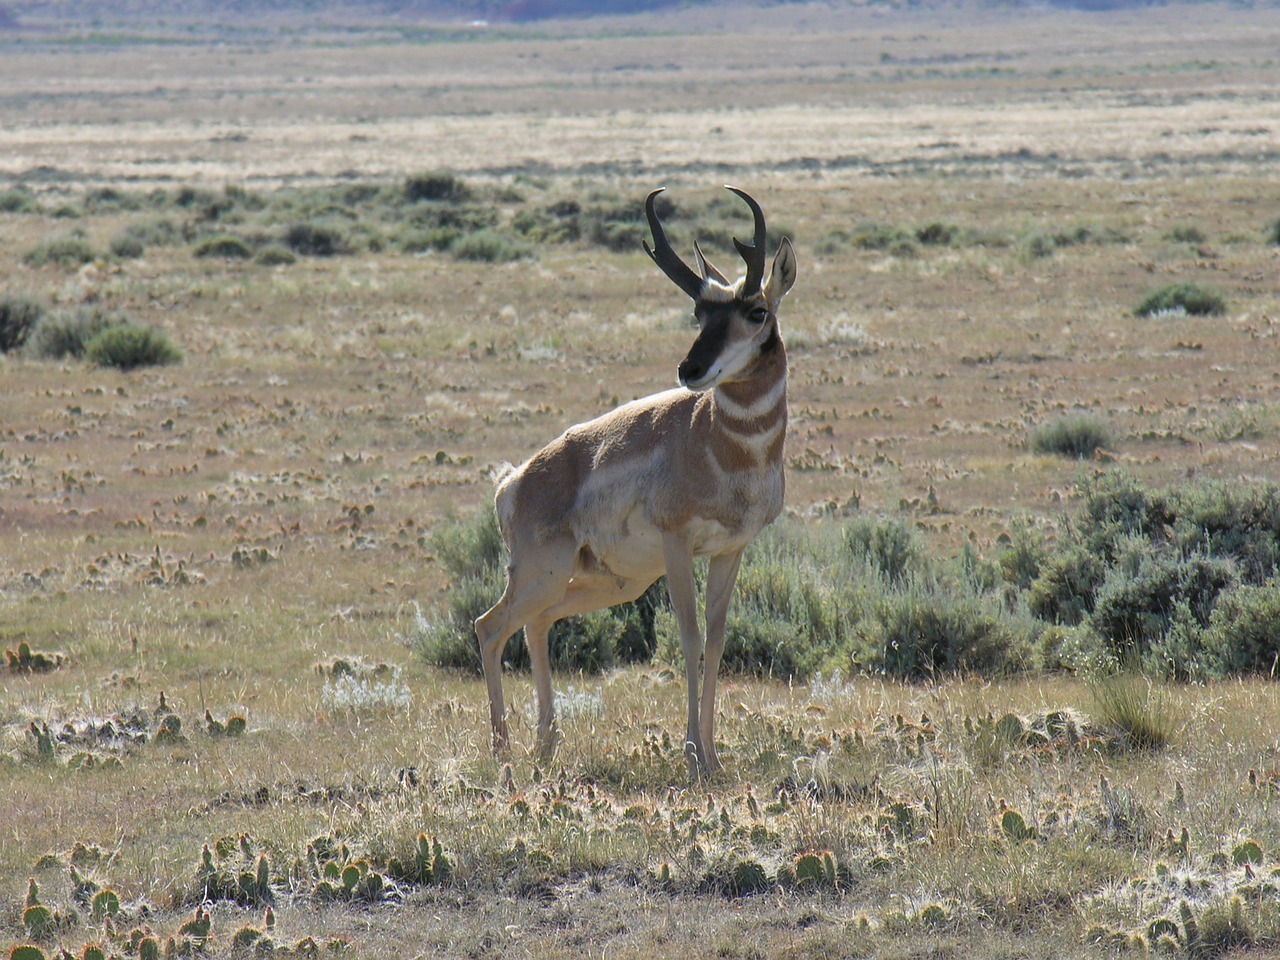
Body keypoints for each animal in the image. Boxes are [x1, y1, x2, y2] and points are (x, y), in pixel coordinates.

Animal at [476, 184, 793, 778]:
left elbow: (717, 640)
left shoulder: (730, 550)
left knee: (535, 623)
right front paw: (693, 756)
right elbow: (689, 637)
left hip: (603, 583)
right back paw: (503, 751)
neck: (720, 444)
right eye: (698, 311)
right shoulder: (677, 545)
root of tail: (516, 479)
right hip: (544, 572)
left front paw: (715, 757)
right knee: (490, 625)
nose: (690, 370)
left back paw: (545, 744)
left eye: (756, 310)